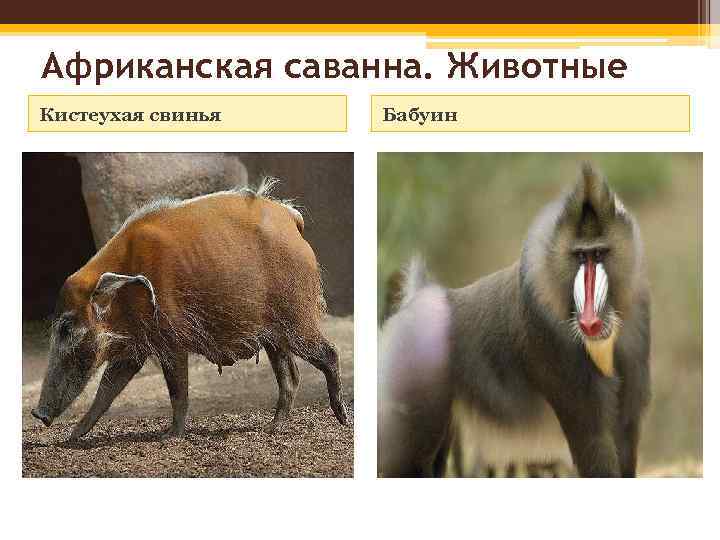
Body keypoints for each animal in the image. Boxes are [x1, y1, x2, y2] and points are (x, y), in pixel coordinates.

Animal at [31, 178, 349, 441]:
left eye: (66, 327)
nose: (38, 414)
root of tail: (292, 220)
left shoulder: (170, 341)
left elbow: (177, 391)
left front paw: (170, 437)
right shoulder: (134, 349)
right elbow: (106, 391)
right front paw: (71, 437)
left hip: (297, 318)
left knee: (329, 353)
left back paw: (342, 418)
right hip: (274, 335)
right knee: (291, 377)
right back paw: (273, 427)